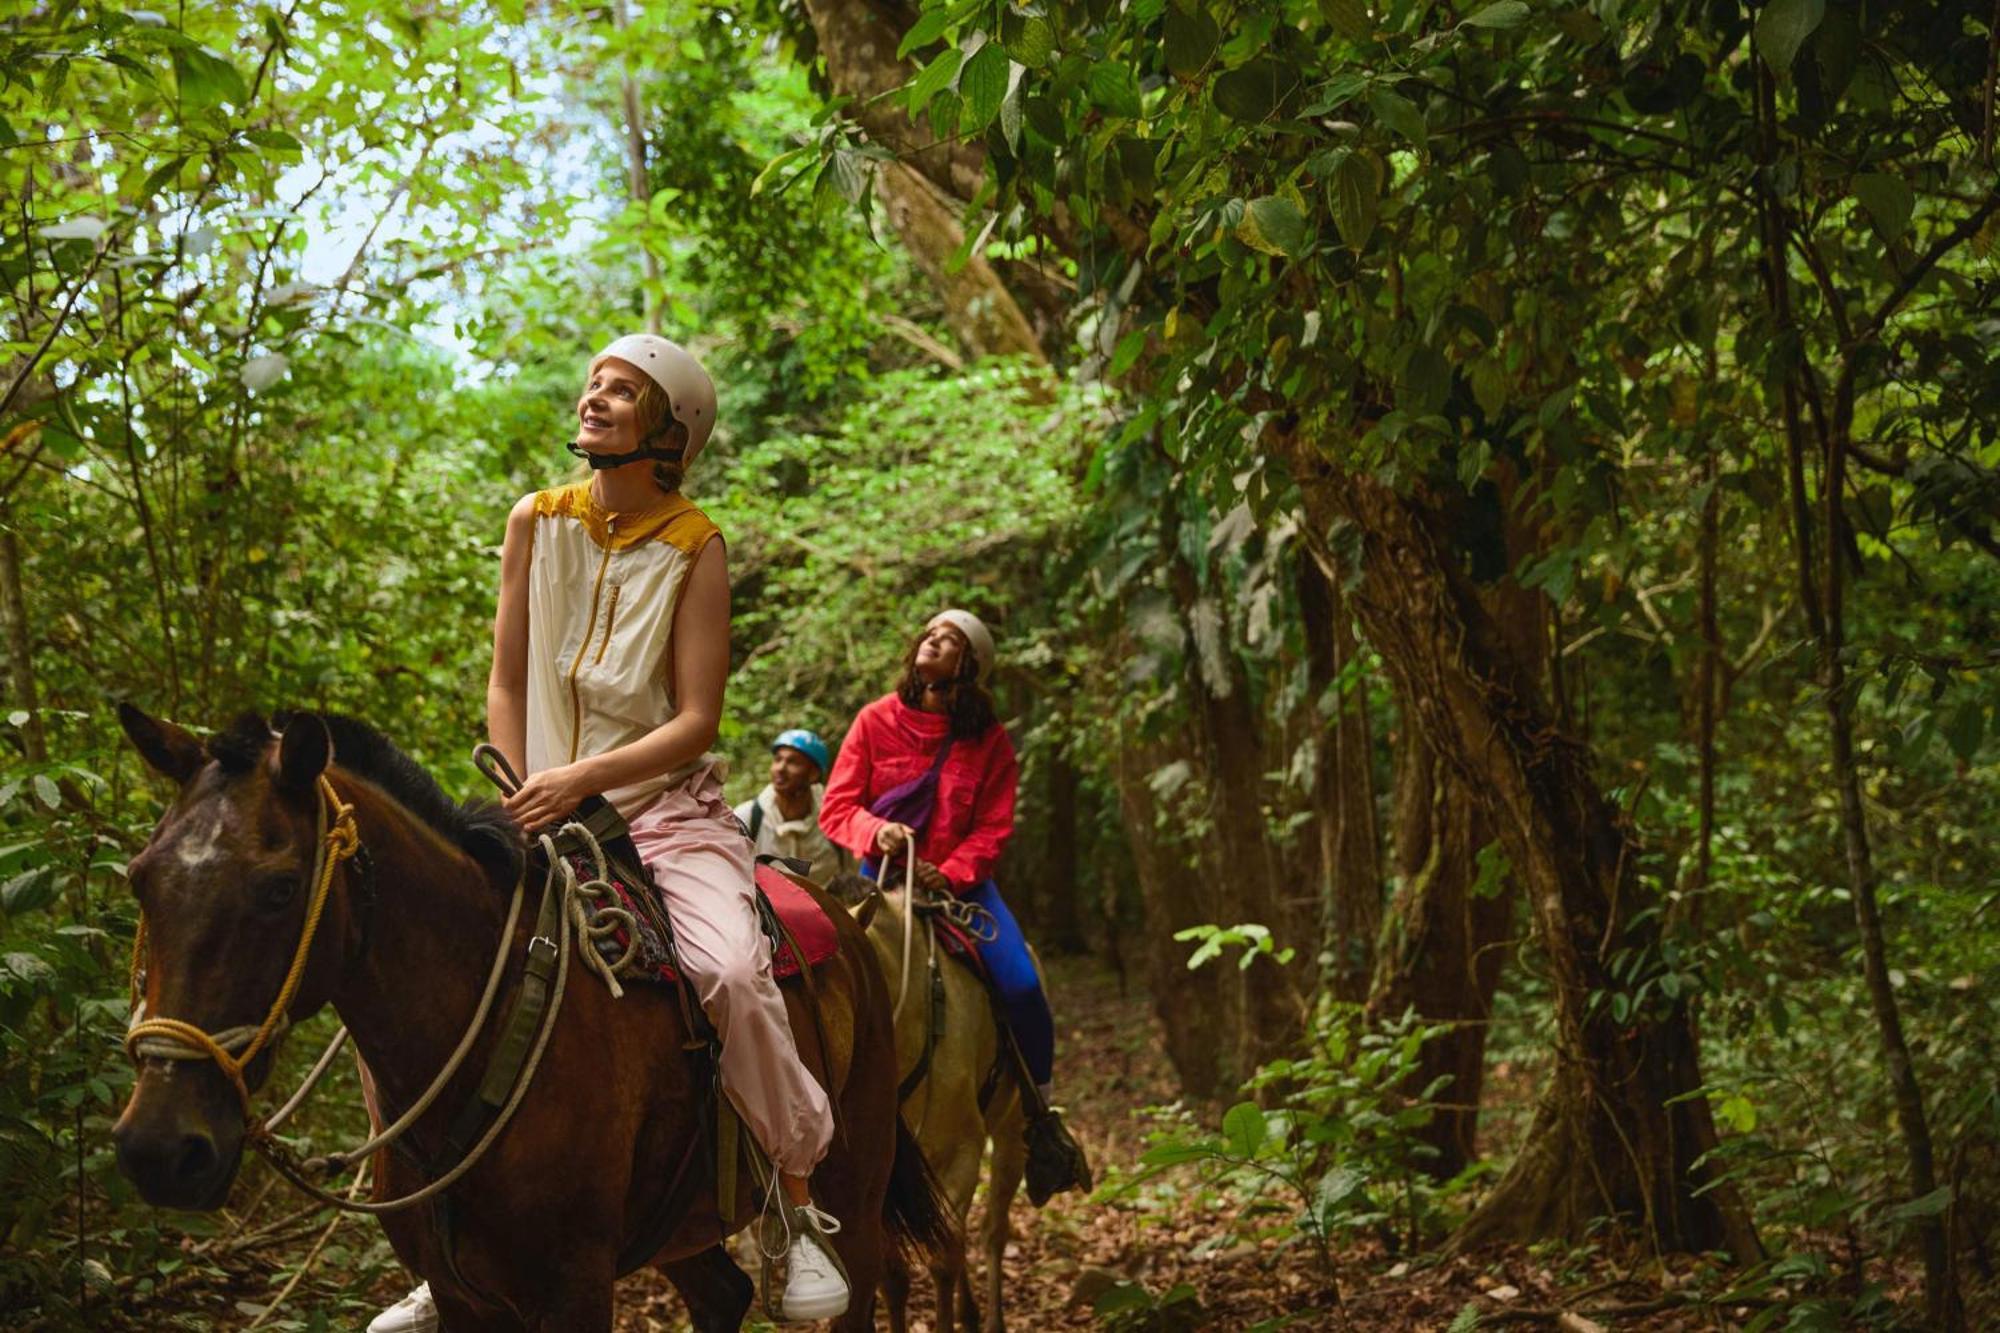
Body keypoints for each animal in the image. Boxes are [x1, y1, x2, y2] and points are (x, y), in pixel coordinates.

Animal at [111, 704, 952, 1320]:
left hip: (855, 1181)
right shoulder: (462, 1296)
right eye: (139, 878)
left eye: (280, 888)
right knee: (724, 1293)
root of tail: (845, 917)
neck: (484, 1031)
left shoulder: (573, 1286)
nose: (159, 1146)